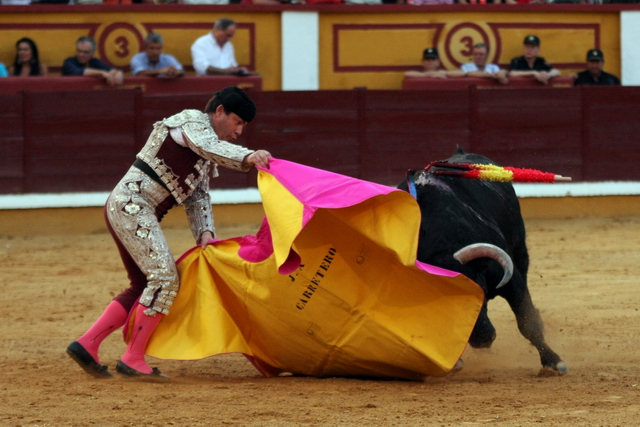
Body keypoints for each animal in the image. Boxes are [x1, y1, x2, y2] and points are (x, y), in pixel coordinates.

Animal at [398, 149, 568, 376]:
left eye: (481, 292)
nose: (483, 339)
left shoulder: (510, 279)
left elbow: (527, 321)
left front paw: (553, 362)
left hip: (520, 251)